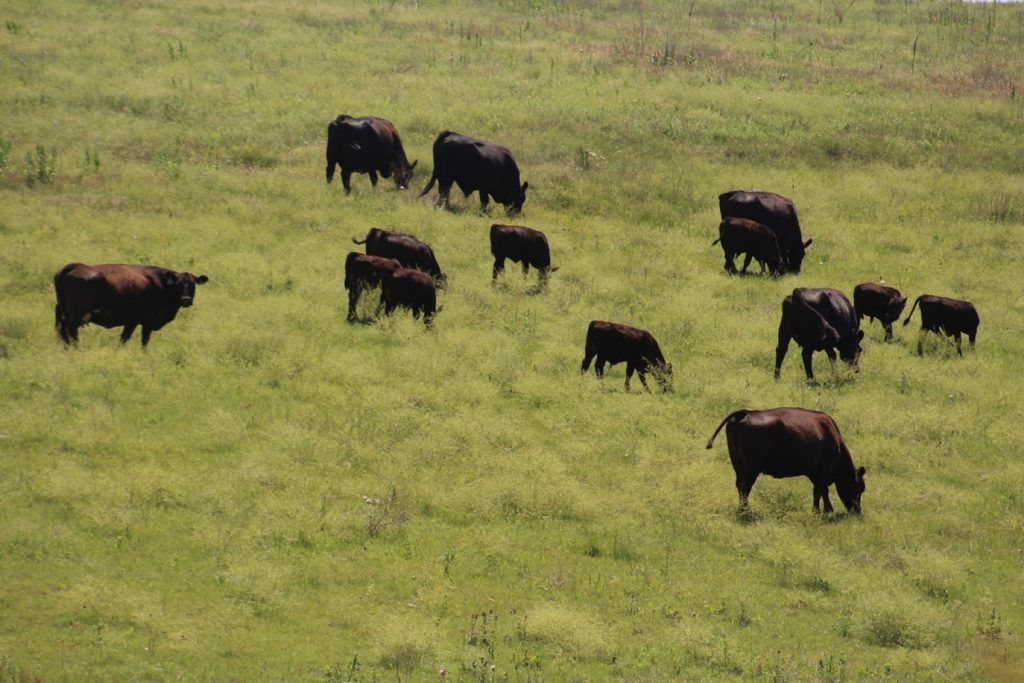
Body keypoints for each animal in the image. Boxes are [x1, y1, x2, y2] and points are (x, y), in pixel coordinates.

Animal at [52, 262, 208, 348]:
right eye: (178, 284)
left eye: (193, 284)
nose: (186, 299)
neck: (163, 285)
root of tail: (76, 265)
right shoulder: (146, 322)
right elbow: (142, 341)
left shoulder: (132, 321)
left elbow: (123, 339)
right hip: (77, 315)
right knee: (70, 331)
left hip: (63, 312)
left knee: (61, 330)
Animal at [708, 409, 868, 516]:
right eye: (859, 488)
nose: (857, 511)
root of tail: (746, 412)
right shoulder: (824, 469)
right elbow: (819, 490)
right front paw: (818, 512)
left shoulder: (816, 472)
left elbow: (823, 491)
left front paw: (828, 510)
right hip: (751, 468)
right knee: (745, 487)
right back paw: (746, 511)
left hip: (738, 465)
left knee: (739, 486)